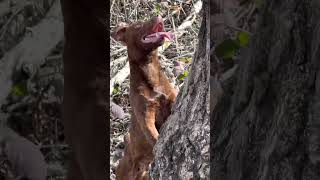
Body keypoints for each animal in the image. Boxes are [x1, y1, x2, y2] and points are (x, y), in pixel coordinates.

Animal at [112, 16, 178, 179]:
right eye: (138, 25)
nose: (159, 16)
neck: (150, 71)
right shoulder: (146, 116)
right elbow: (155, 137)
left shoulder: (171, 98)